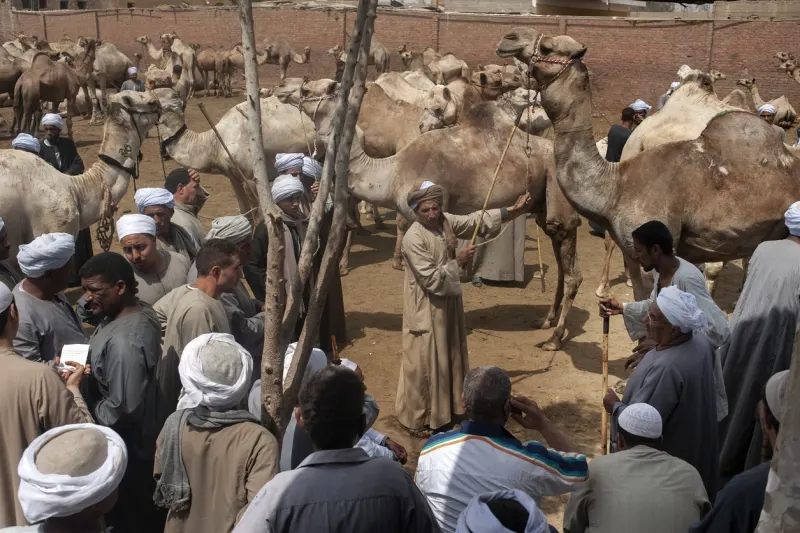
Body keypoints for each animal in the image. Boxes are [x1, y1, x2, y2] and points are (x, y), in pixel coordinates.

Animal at [346, 102, 582, 351]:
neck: (392, 174)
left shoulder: (429, 211)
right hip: (543, 206)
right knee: (561, 267)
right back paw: (545, 320)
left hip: (558, 194)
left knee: (572, 272)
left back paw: (554, 338)